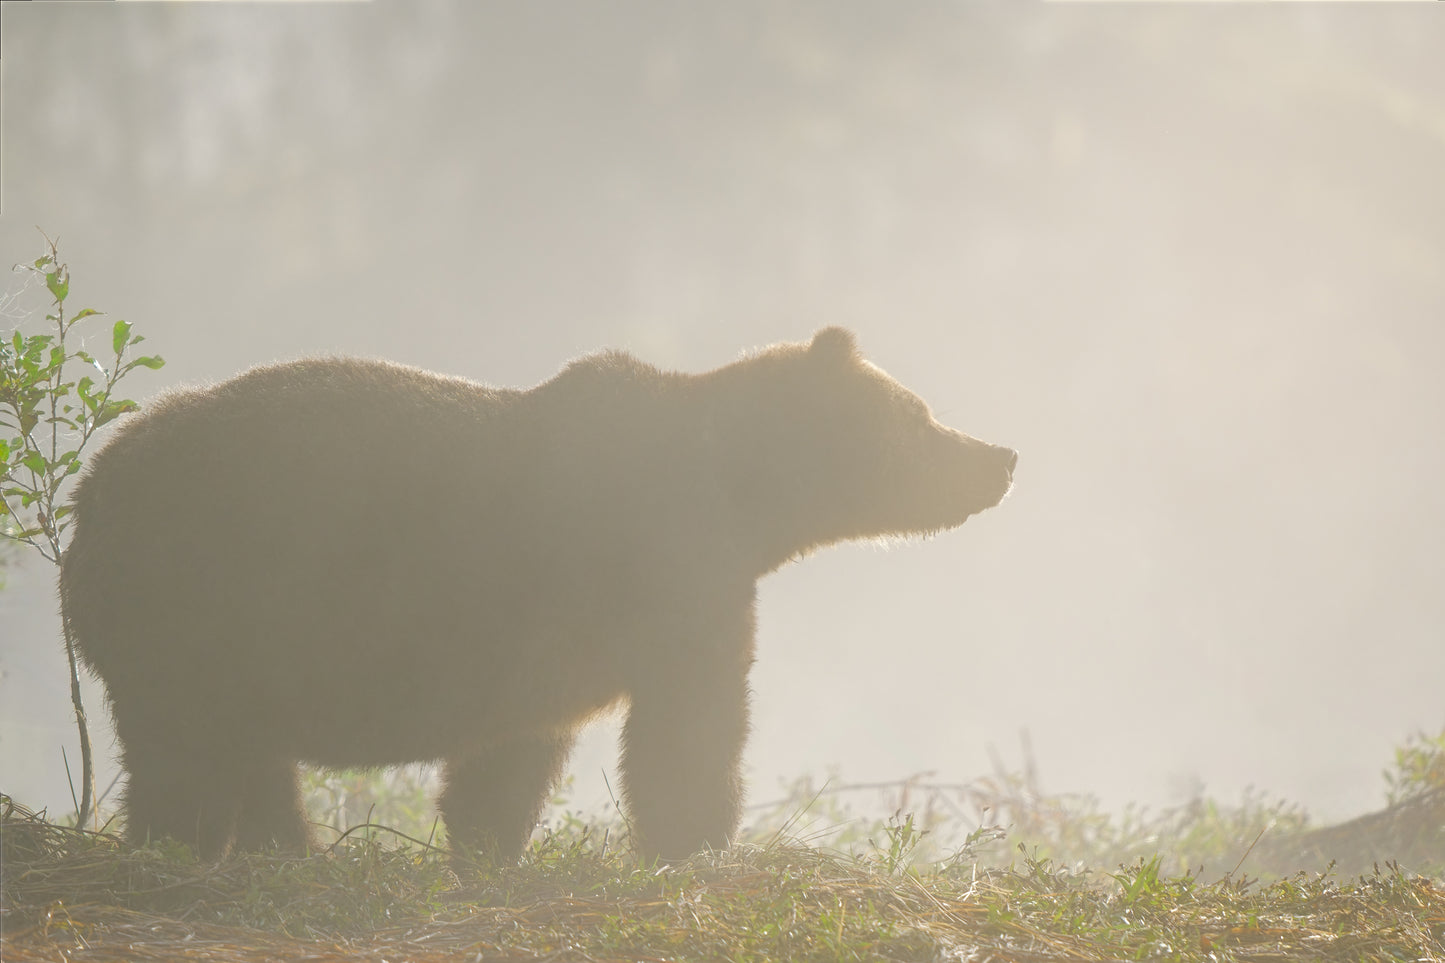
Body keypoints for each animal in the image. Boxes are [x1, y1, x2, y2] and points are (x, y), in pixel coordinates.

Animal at [59, 326, 1017, 856]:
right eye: (919, 412)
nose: (1000, 456)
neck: (746, 494)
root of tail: (93, 487)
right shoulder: (669, 568)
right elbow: (690, 727)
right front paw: (696, 844)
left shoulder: (544, 646)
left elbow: (512, 757)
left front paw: (488, 846)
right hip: (203, 594)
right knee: (186, 753)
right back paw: (181, 847)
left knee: (252, 757)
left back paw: (288, 851)